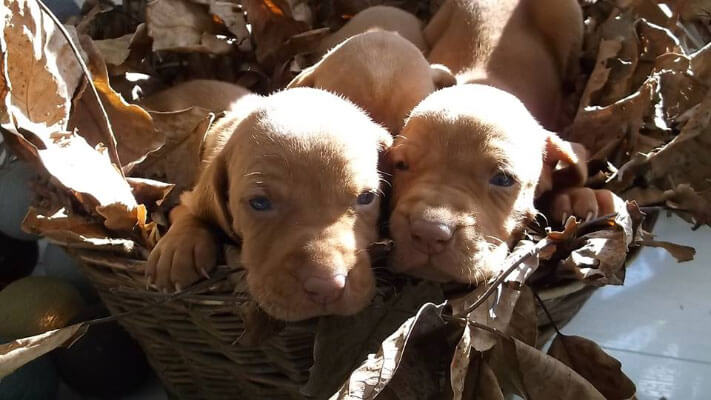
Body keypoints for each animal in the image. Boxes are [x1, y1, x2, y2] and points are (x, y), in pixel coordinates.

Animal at [145, 89, 394, 320]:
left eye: (366, 197)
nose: (326, 288)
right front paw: (177, 248)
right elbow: (189, 210)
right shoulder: (192, 191)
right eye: (260, 203)